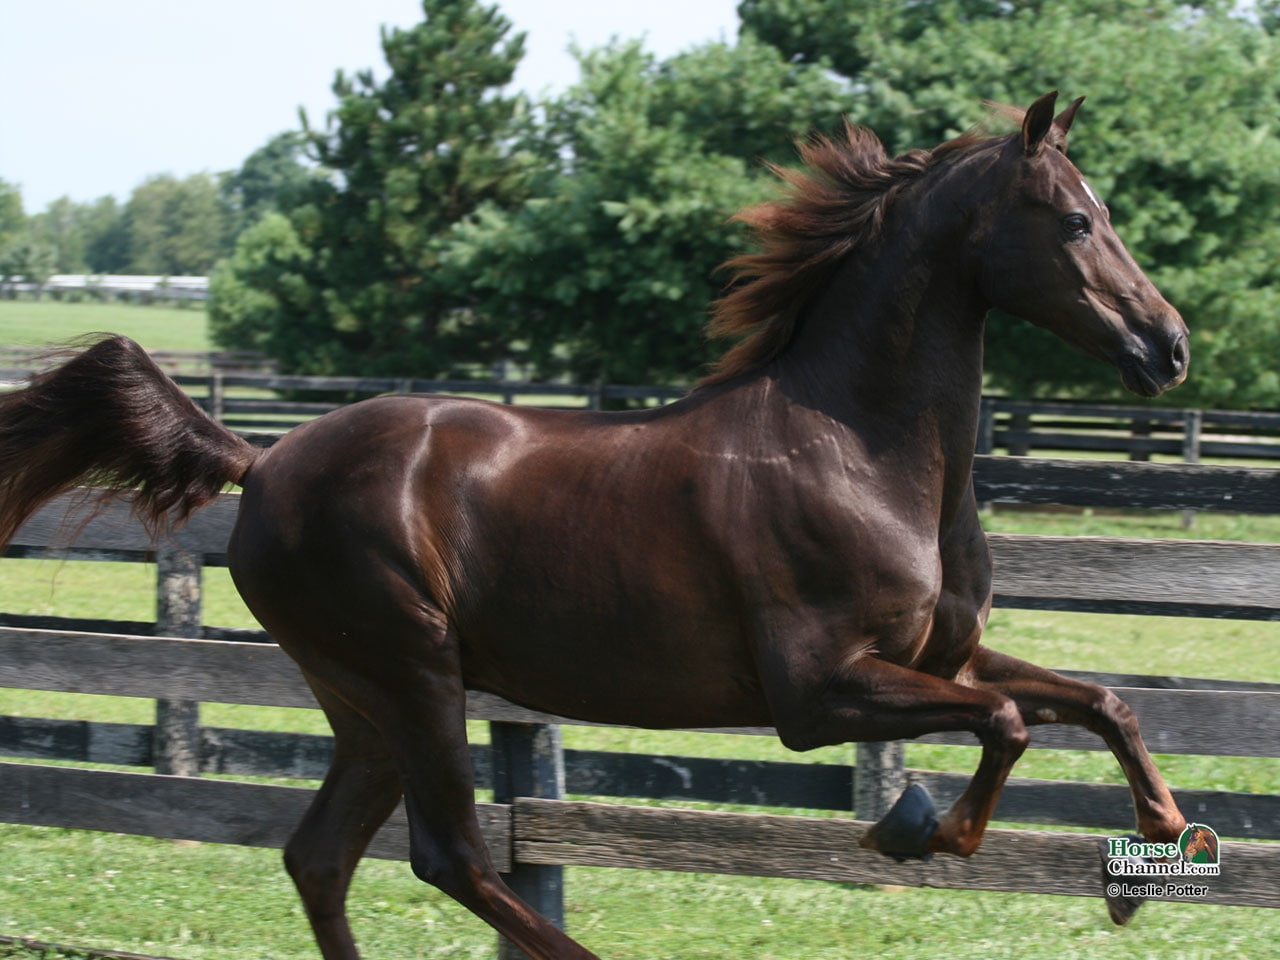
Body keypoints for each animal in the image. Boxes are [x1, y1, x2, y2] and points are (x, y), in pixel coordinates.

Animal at [0, 92, 1190, 958]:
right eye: (1077, 219)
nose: (1167, 346)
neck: (858, 450)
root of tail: (265, 459)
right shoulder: (816, 693)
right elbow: (1008, 721)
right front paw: (919, 828)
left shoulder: (940, 656)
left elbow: (1099, 701)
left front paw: (1155, 854)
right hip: (411, 672)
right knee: (452, 857)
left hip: (364, 702)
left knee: (321, 857)